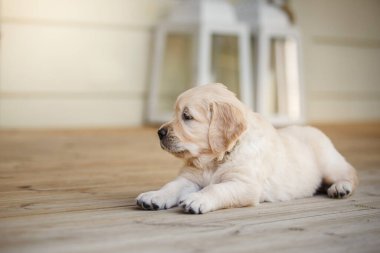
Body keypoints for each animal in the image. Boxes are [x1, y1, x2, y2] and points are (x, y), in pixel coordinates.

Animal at [137, 83, 360, 213]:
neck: (215, 159)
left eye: (187, 116)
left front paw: (198, 199)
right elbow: (171, 186)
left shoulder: (245, 184)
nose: (159, 133)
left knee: (350, 173)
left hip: (330, 164)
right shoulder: (189, 178)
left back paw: (340, 188)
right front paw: (154, 196)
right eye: (175, 113)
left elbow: (216, 188)